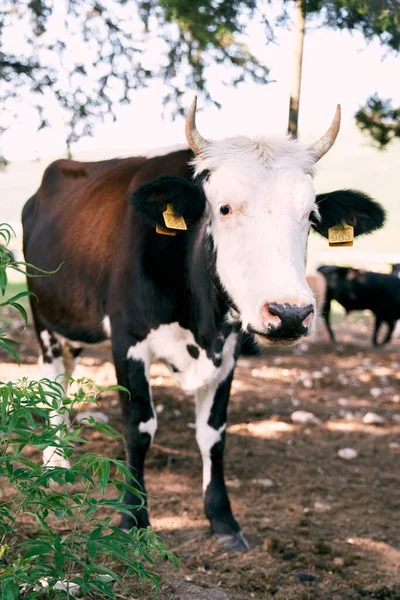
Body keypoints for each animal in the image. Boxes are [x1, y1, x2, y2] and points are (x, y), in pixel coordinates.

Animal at [21, 96, 384, 552]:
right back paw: (56, 462)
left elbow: (214, 434)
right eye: (224, 207)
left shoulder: (227, 352)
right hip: (43, 317)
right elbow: (139, 427)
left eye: (310, 215)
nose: (289, 314)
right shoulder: (128, 340)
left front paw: (222, 519)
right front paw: (132, 519)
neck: (201, 323)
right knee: (52, 379)